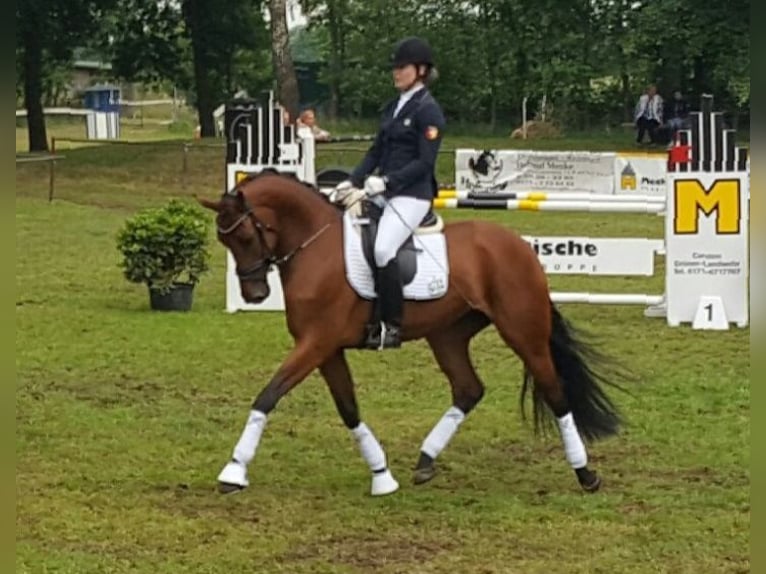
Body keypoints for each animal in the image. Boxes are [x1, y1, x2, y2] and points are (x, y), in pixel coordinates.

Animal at [198, 170, 632, 500]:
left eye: (245, 237)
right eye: (225, 240)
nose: (255, 295)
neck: (316, 246)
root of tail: (521, 247)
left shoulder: (316, 343)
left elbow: (268, 395)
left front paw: (233, 471)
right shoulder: (326, 348)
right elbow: (348, 409)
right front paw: (381, 475)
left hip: (523, 331)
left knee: (555, 393)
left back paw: (585, 474)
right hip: (448, 336)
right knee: (469, 389)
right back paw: (425, 461)